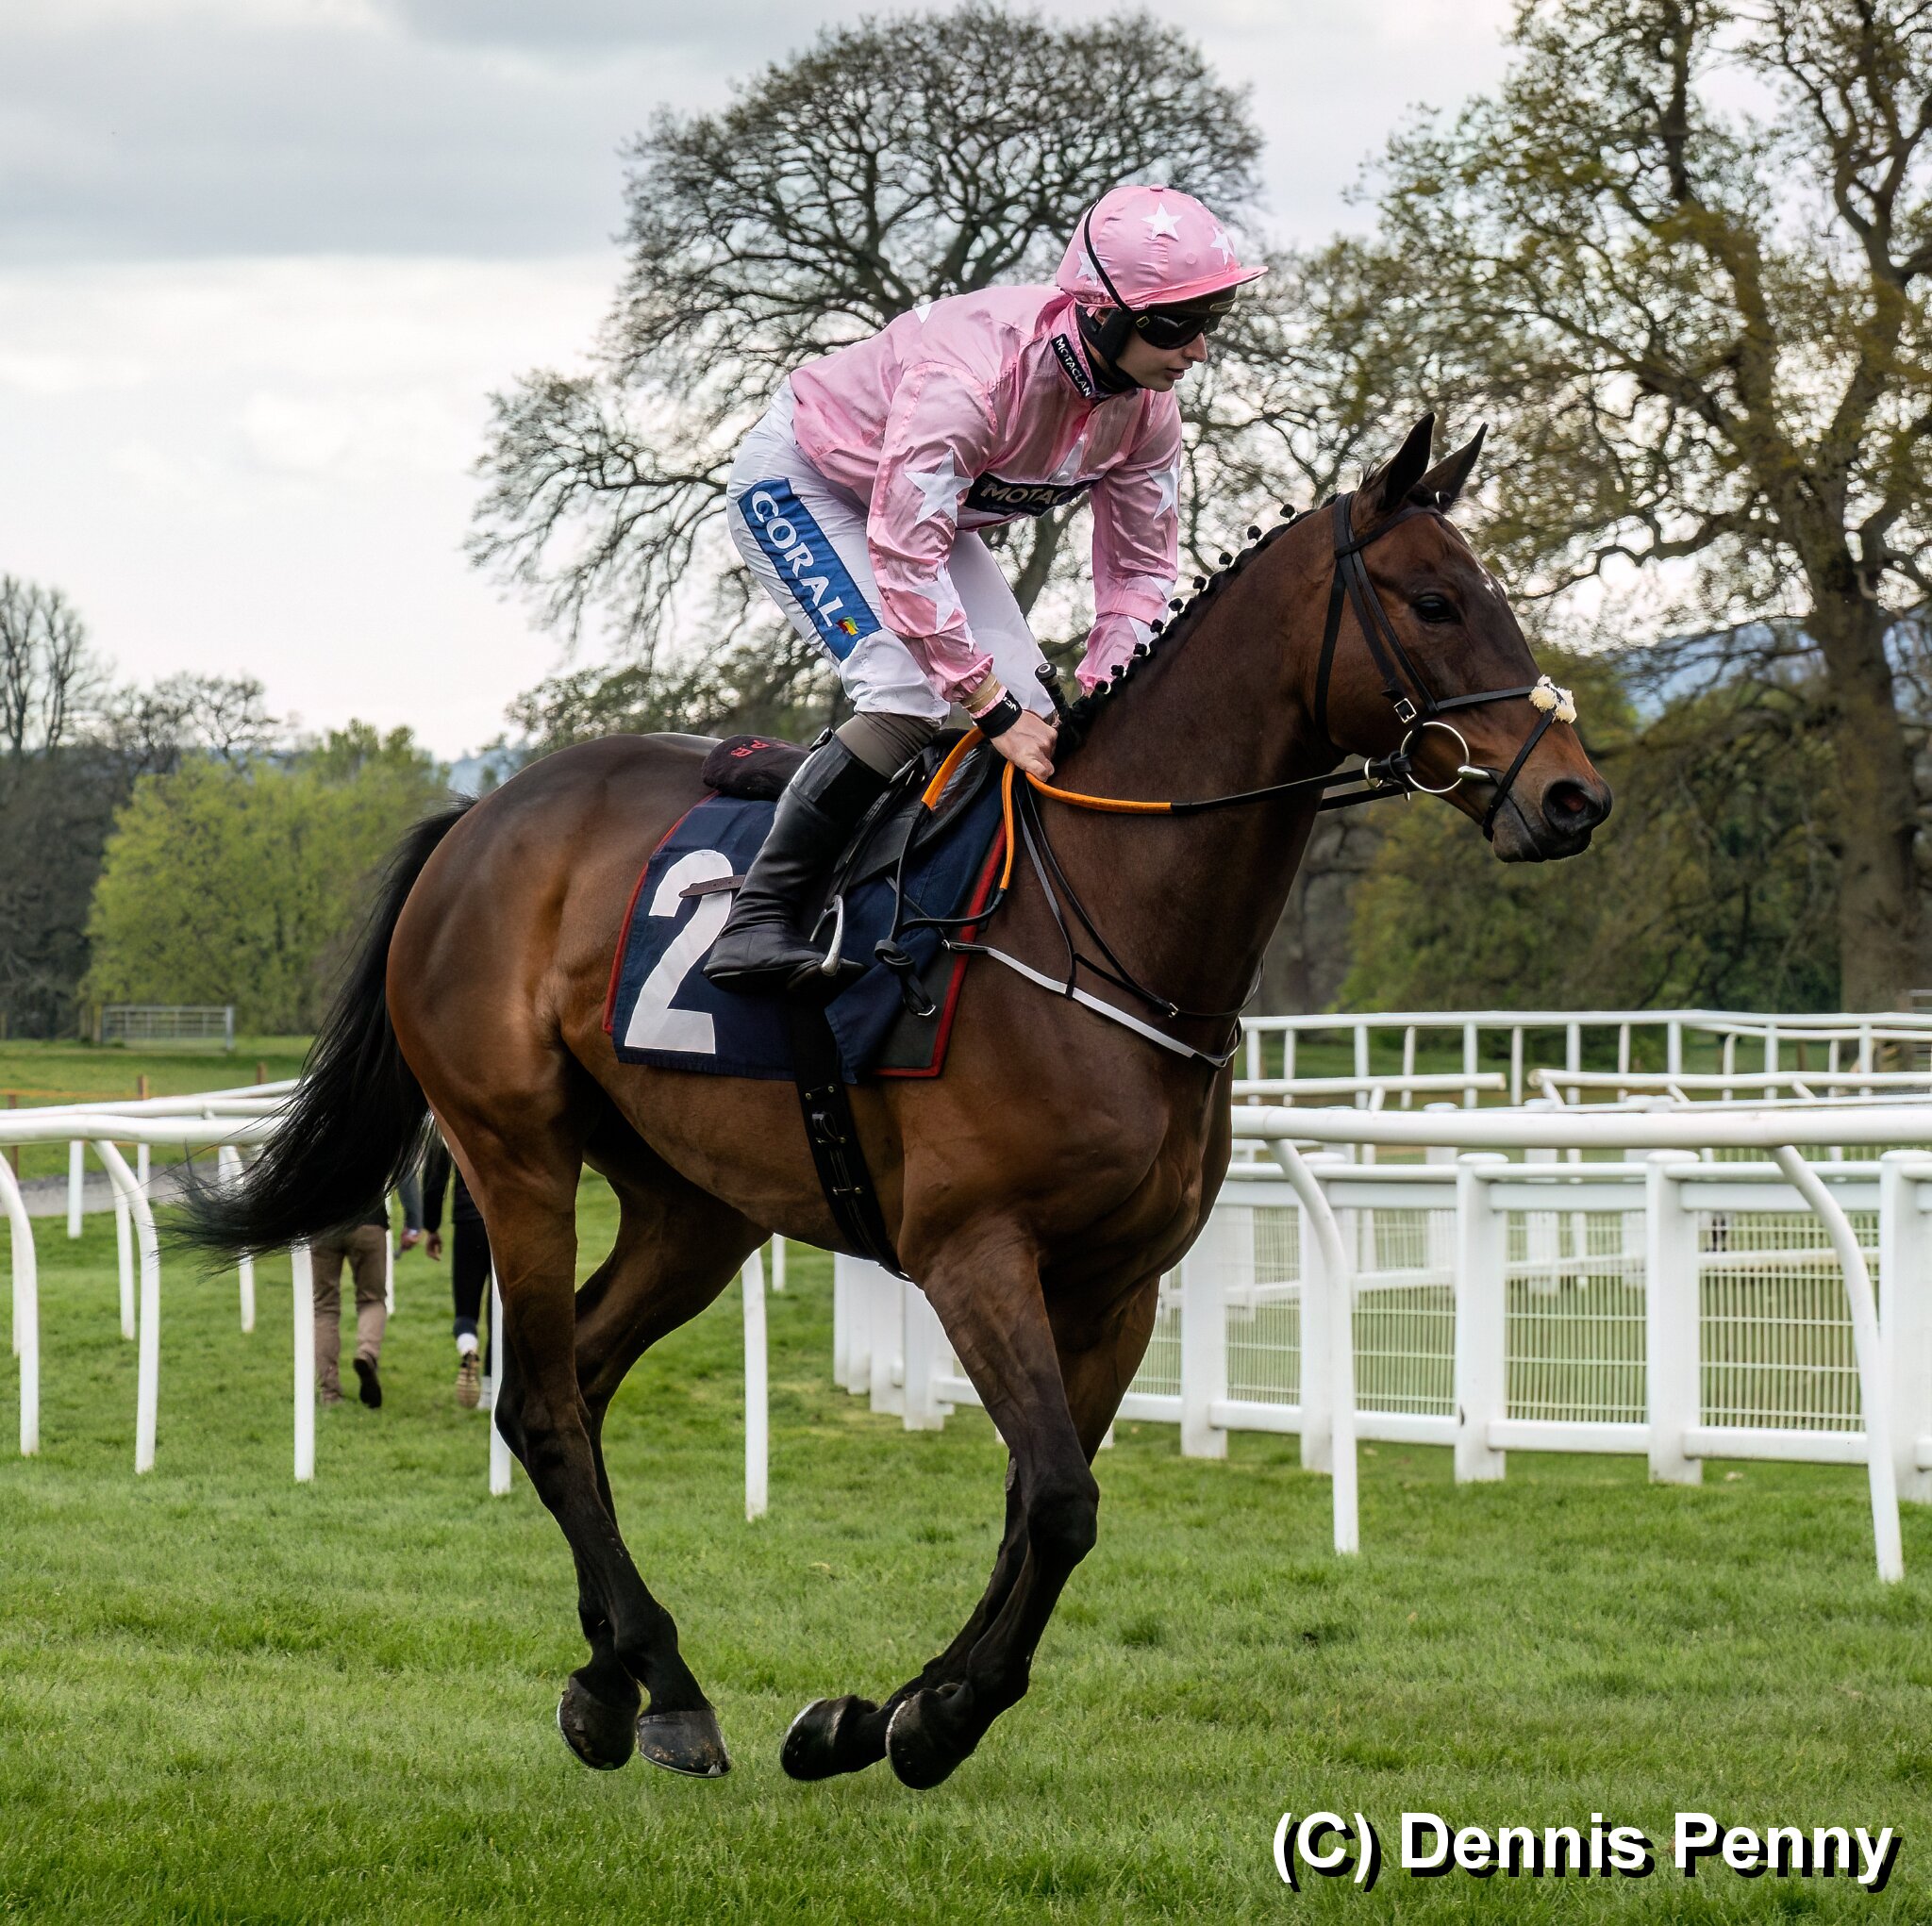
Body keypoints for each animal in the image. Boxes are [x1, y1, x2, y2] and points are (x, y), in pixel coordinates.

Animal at [186, 414, 1610, 1791]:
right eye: (1435, 600)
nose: (1573, 795)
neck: (1102, 915)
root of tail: (481, 815)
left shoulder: (1119, 1282)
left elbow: (1037, 1505)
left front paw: (881, 1712)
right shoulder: (972, 1251)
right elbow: (1062, 1498)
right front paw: (931, 1717)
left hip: (693, 1203)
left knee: (573, 1383)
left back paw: (611, 1681)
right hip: (514, 1147)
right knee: (541, 1399)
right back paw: (671, 1683)